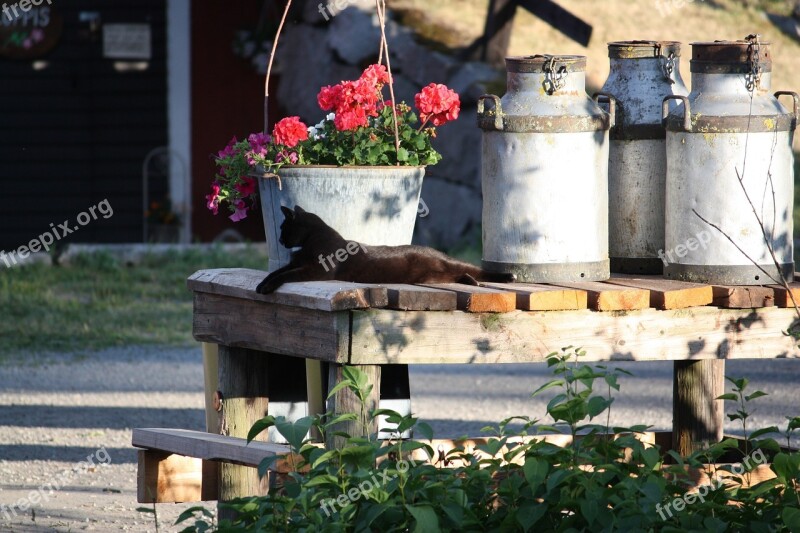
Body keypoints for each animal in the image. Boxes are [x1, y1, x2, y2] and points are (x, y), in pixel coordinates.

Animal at [256, 205, 520, 296]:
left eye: (283, 227)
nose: (279, 239)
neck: (311, 240)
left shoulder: (314, 271)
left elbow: (285, 275)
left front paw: (266, 288)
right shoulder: (294, 263)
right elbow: (276, 272)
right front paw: (261, 284)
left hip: (449, 265)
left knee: (475, 270)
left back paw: (507, 276)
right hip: (437, 275)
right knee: (462, 275)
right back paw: (471, 282)